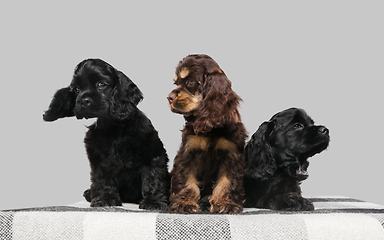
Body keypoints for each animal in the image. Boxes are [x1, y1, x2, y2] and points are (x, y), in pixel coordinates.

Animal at [42, 58, 169, 210]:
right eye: (77, 89)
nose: (83, 101)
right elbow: (103, 178)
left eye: (101, 84)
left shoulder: (152, 153)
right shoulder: (99, 158)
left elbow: (152, 177)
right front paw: (105, 199)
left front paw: (153, 202)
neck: (114, 127)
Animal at [167, 54, 246, 214]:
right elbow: (187, 180)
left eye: (190, 82)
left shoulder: (231, 155)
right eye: (176, 83)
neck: (211, 129)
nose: (169, 97)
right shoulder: (188, 152)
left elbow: (227, 182)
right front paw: (184, 203)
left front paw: (225, 204)